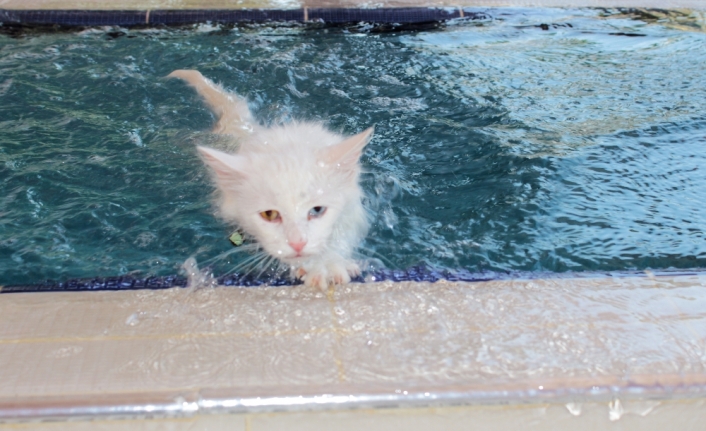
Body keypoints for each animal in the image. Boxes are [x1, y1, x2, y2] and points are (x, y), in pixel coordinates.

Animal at [168, 69, 372, 288]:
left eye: (317, 210)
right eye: (269, 214)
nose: (298, 243)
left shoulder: (355, 209)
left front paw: (329, 262)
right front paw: (317, 266)